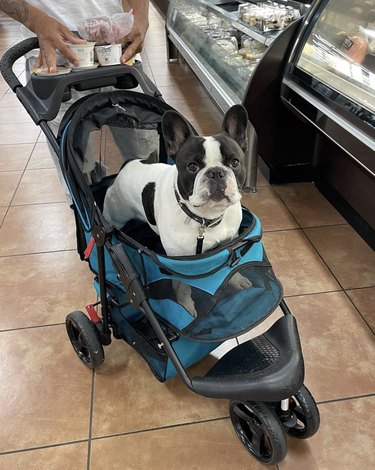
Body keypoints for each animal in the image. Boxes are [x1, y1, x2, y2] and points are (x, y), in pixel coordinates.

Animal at [103, 104, 250, 258]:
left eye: (235, 162)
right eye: (192, 166)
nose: (216, 172)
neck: (207, 219)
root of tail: (127, 164)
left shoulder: (231, 238)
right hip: (115, 215)